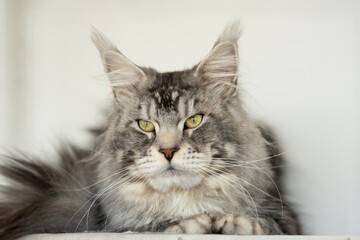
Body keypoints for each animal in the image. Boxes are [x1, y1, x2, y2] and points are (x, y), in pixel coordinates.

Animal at [0, 21, 300, 239]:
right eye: (145, 125)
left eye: (194, 120)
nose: (168, 151)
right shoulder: (116, 226)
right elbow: (153, 226)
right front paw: (191, 224)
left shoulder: (287, 215)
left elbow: (267, 225)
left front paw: (235, 223)